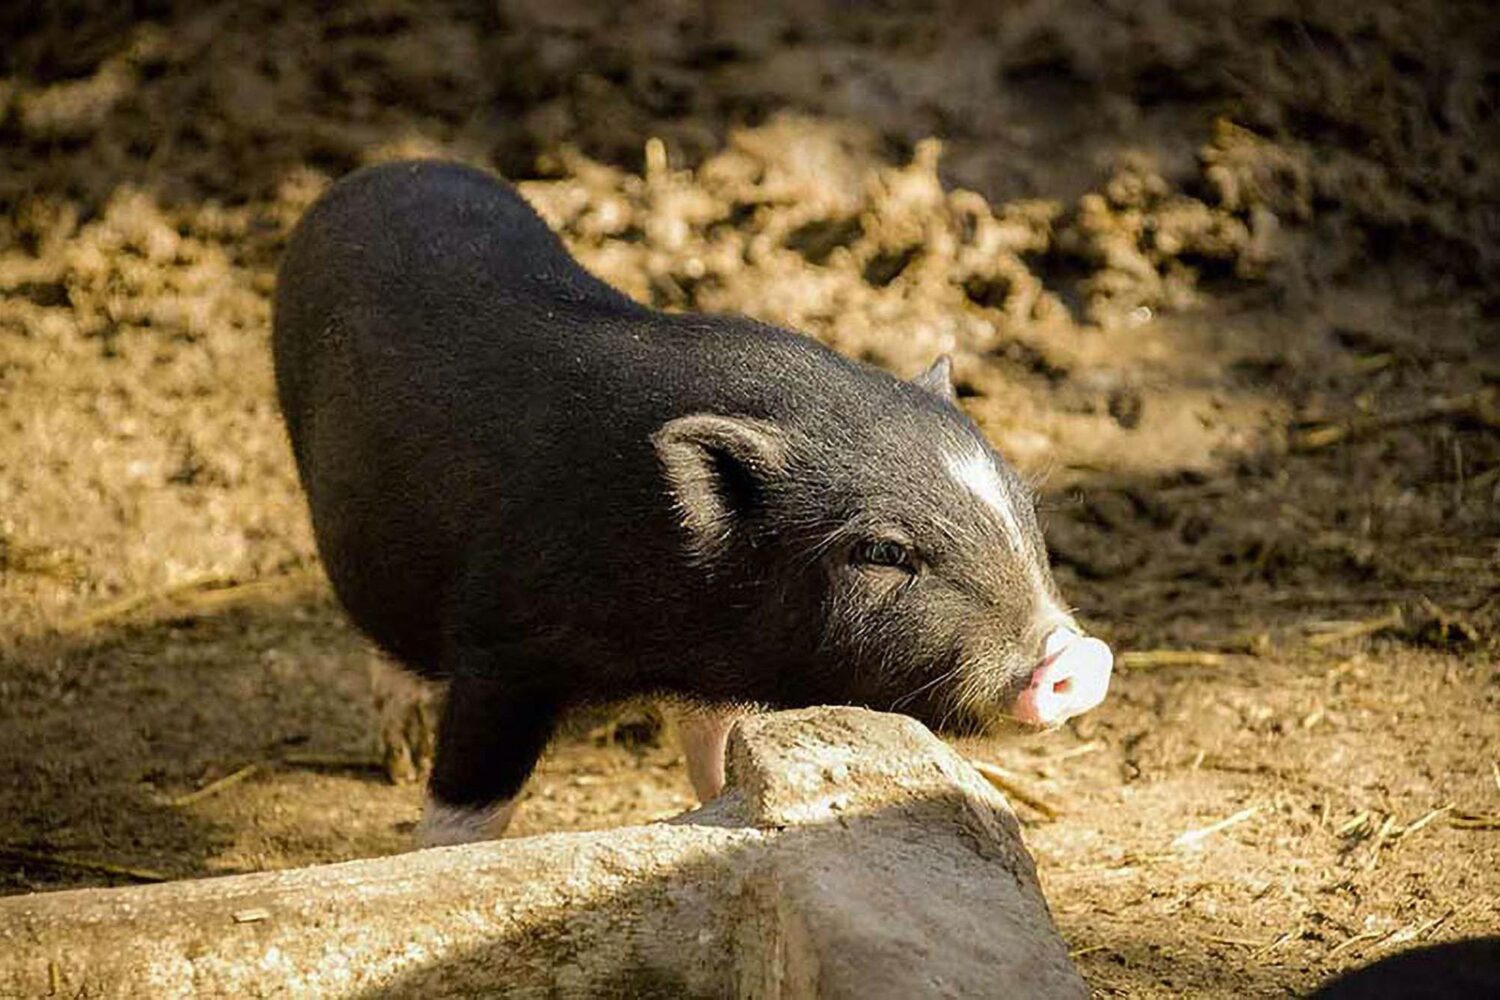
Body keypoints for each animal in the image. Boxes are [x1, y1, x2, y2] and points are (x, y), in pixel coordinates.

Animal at [276, 162, 1110, 845]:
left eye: (1023, 510)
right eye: (884, 552)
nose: (1078, 655)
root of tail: (387, 168)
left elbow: (718, 743)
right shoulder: (501, 647)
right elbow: (467, 805)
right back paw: (398, 753)